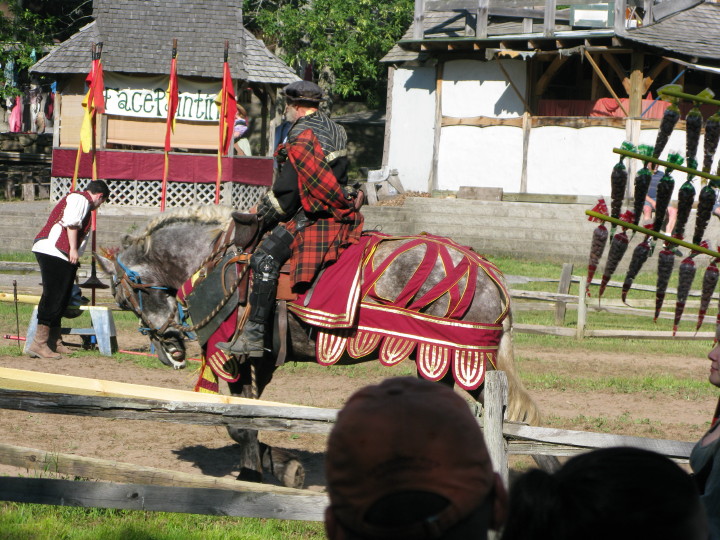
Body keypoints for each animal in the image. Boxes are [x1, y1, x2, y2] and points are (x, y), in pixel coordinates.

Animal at [100, 206, 540, 486]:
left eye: (122, 299)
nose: (168, 349)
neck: (212, 261)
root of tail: (490, 274)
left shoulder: (235, 357)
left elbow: (238, 424)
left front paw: (259, 470)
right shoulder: (260, 363)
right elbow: (252, 417)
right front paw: (271, 464)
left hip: (464, 364)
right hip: (443, 364)